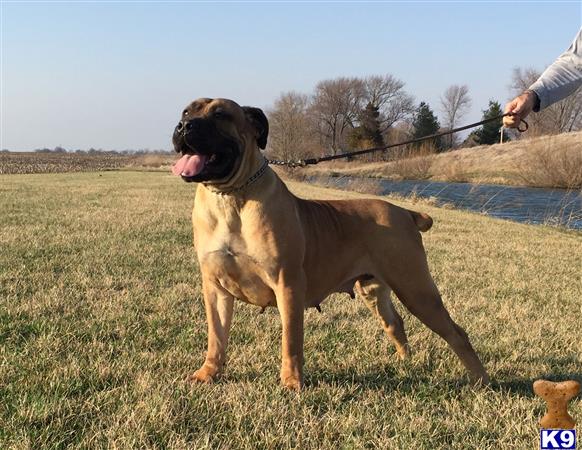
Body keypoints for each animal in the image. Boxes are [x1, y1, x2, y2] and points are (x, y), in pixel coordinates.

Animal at [171, 97, 490, 390]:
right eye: (186, 111)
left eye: (220, 115)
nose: (184, 126)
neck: (231, 197)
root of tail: (406, 212)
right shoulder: (215, 288)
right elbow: (217, 337)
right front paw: (208, 374)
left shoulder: (287, 284)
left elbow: (291, 340)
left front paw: (291, 383)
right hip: (375, 289)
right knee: (395, 323)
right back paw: (405, 363)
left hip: (416, 288)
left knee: (457, 333)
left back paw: (481, 380)